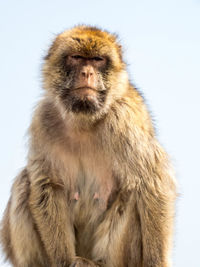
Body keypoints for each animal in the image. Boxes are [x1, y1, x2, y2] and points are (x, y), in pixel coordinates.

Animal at [0, 25, 176, 267]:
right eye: (76, 58)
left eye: (97, 60)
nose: (87, 73)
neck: (84, 119)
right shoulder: (43, 119)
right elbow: (47, 184)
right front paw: (63, 261)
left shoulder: (125, 119)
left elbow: (151, 183)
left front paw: (156, 262)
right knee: (25, 182)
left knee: (133, 191)